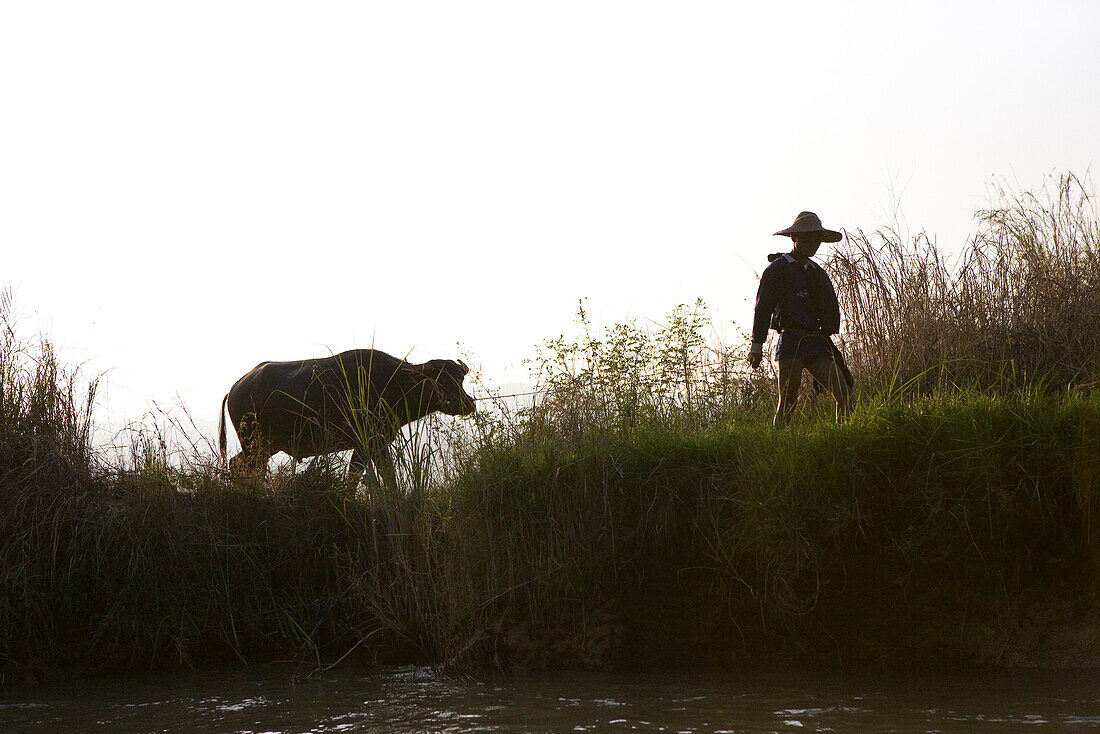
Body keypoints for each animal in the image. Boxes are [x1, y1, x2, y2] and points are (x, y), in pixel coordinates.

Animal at [218, 349, 477, 479]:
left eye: (460, 378)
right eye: (439, 380)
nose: (467, 403)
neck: (394, 382)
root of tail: (235, 388)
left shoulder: (365, 446)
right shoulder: (374, 443)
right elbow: (386, 476)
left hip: (265, 446)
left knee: (238, 464)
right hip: (255, 444)